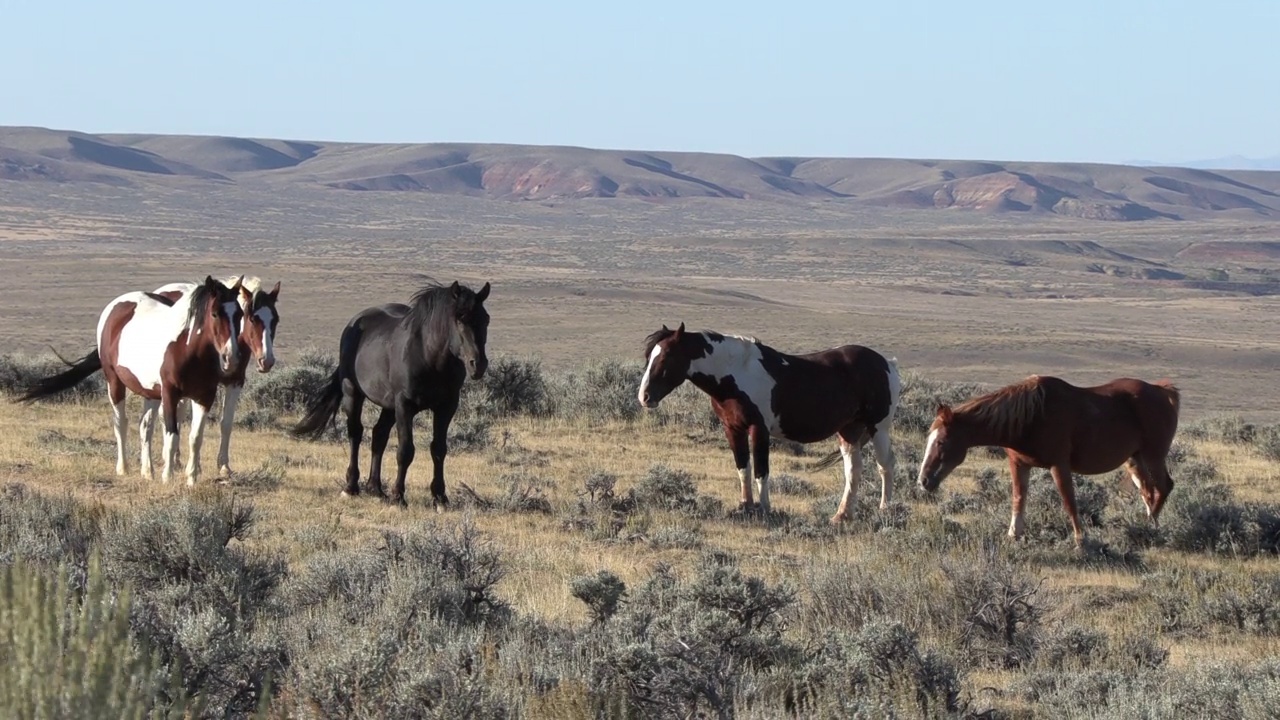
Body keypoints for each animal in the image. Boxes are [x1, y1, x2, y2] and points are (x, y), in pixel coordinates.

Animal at [16, 274, 244, 481]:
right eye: (214, 314)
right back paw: (123, 468)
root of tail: (118, 304)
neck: (187, 349)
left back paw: (147, 472)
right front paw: (168, 477)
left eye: (240, 314)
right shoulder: (170, 394)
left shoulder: (204, 396)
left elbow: (195, 437)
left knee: (145, 426)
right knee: (121, 423)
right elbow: (171, 434)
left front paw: (191, 479)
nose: (231, 357)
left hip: (150, 392)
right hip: (115, 382)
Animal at [152, 271, 280, 474]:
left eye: (275, 320)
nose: (266, 361)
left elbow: (225, 423)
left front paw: (224, 466)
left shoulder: (235, 382)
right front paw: (195, 466)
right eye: (252, 319)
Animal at [293, 278, 488, 507]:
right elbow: (405, 450)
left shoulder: (446, 407)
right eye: (459, 319)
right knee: (355, 433)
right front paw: (398, 496)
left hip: (388, 405)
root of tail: (356, 322)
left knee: (379, 435)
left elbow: (439, 449)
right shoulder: (405, 405)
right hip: (353, 393)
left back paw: (375, 488)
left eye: (486, 319)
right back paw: (351, 487)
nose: (478, 365)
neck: (429, 357)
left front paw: (440, 497)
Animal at [632, 322, 896, 517]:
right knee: (853, 470)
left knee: (885, 466)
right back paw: (841, 516)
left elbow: (761, 471)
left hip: (878, 427)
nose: (644, 397)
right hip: (849, 430)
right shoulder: (732, 428)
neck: (736, 374)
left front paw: (766, 509)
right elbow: (743, 468)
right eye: (649, 357)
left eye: (665, 357)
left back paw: (886, 510)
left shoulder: (759, 429)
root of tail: (886, 363)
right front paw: (746, 506)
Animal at [921, 376, 1177, 543]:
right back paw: (1146, 525)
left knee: (1163, 487)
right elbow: (1018, 498)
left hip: (1153, 456)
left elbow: (1069, 500)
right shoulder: (1019, 464)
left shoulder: (1059, 465)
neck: (1031, 417)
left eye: (941, 442)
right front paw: (1014, 534)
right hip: (1135, 459)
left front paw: (1080, 540)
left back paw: (1152, 529)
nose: (923, 481)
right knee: (1147, 491)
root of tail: (1163, 391)